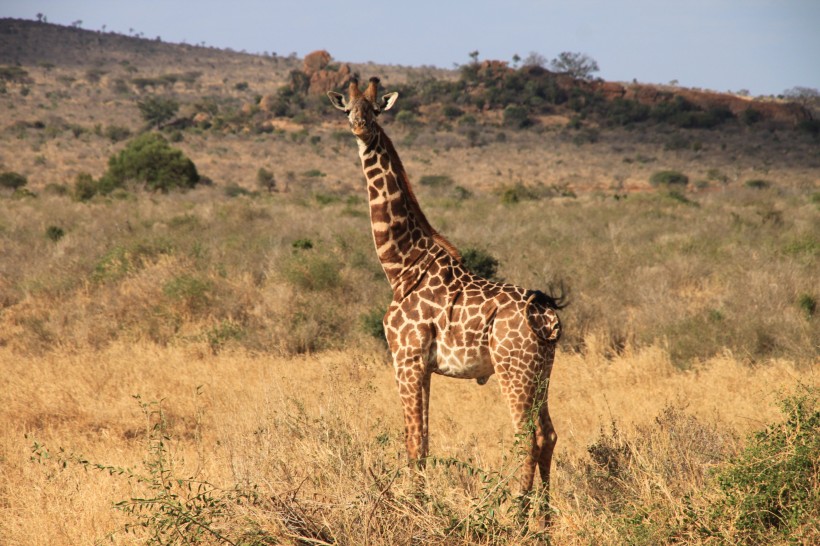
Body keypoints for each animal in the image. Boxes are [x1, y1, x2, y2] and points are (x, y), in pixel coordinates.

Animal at [326, 76, 564, 520]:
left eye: (375, 110)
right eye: (348, 109)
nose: (360, 129)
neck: (402, 265)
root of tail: (546, 315)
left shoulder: (406, 358)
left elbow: (413, 441)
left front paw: (414, 509)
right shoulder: (424, 365)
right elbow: (423, 439)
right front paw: (420, 503)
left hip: (514, 371)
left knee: (527, 437)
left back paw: (517, 516)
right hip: (541, 372)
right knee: (549, 434)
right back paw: (543, 519)